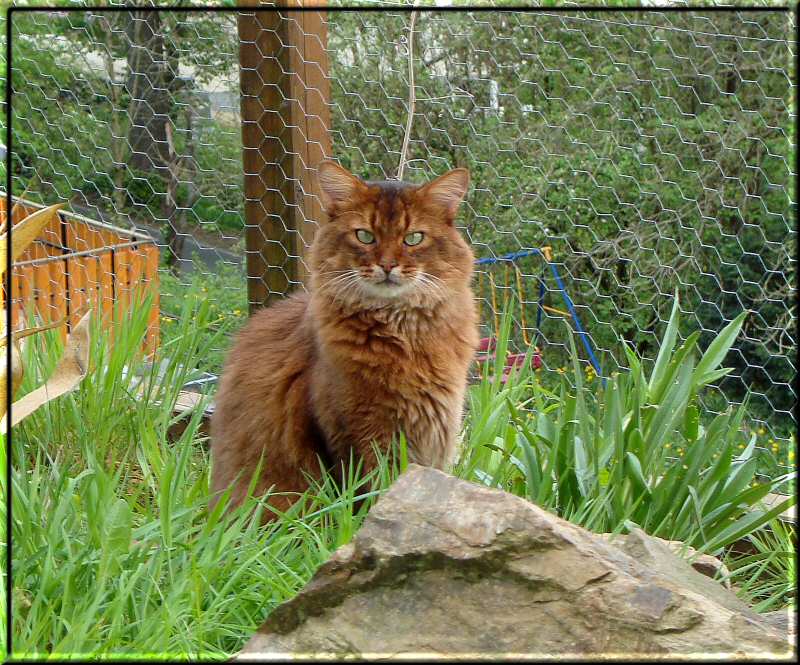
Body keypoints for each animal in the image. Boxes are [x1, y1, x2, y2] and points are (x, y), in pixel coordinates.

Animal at [209, 161, 478, 512]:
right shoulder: (357, 438)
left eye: (413, 238)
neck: (403, 334)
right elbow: (367, 499)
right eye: (365, 235)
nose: (387, 266)